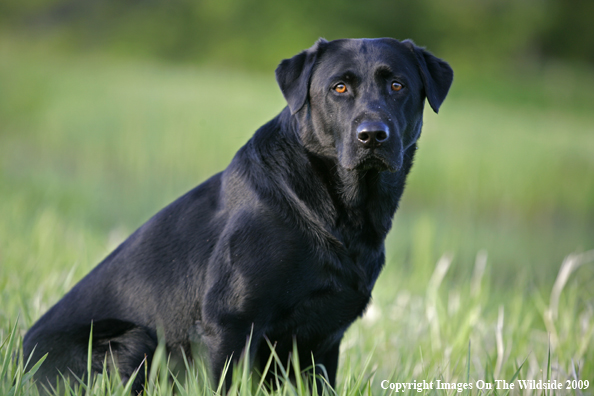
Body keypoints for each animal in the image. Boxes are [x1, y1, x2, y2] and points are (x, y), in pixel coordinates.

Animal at [22, 38, 448, 392]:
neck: (339, 213)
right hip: (134, 341)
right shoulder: (229, 324)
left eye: (398, 86)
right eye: (339, 88)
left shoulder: (324, 339)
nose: (372, 135)